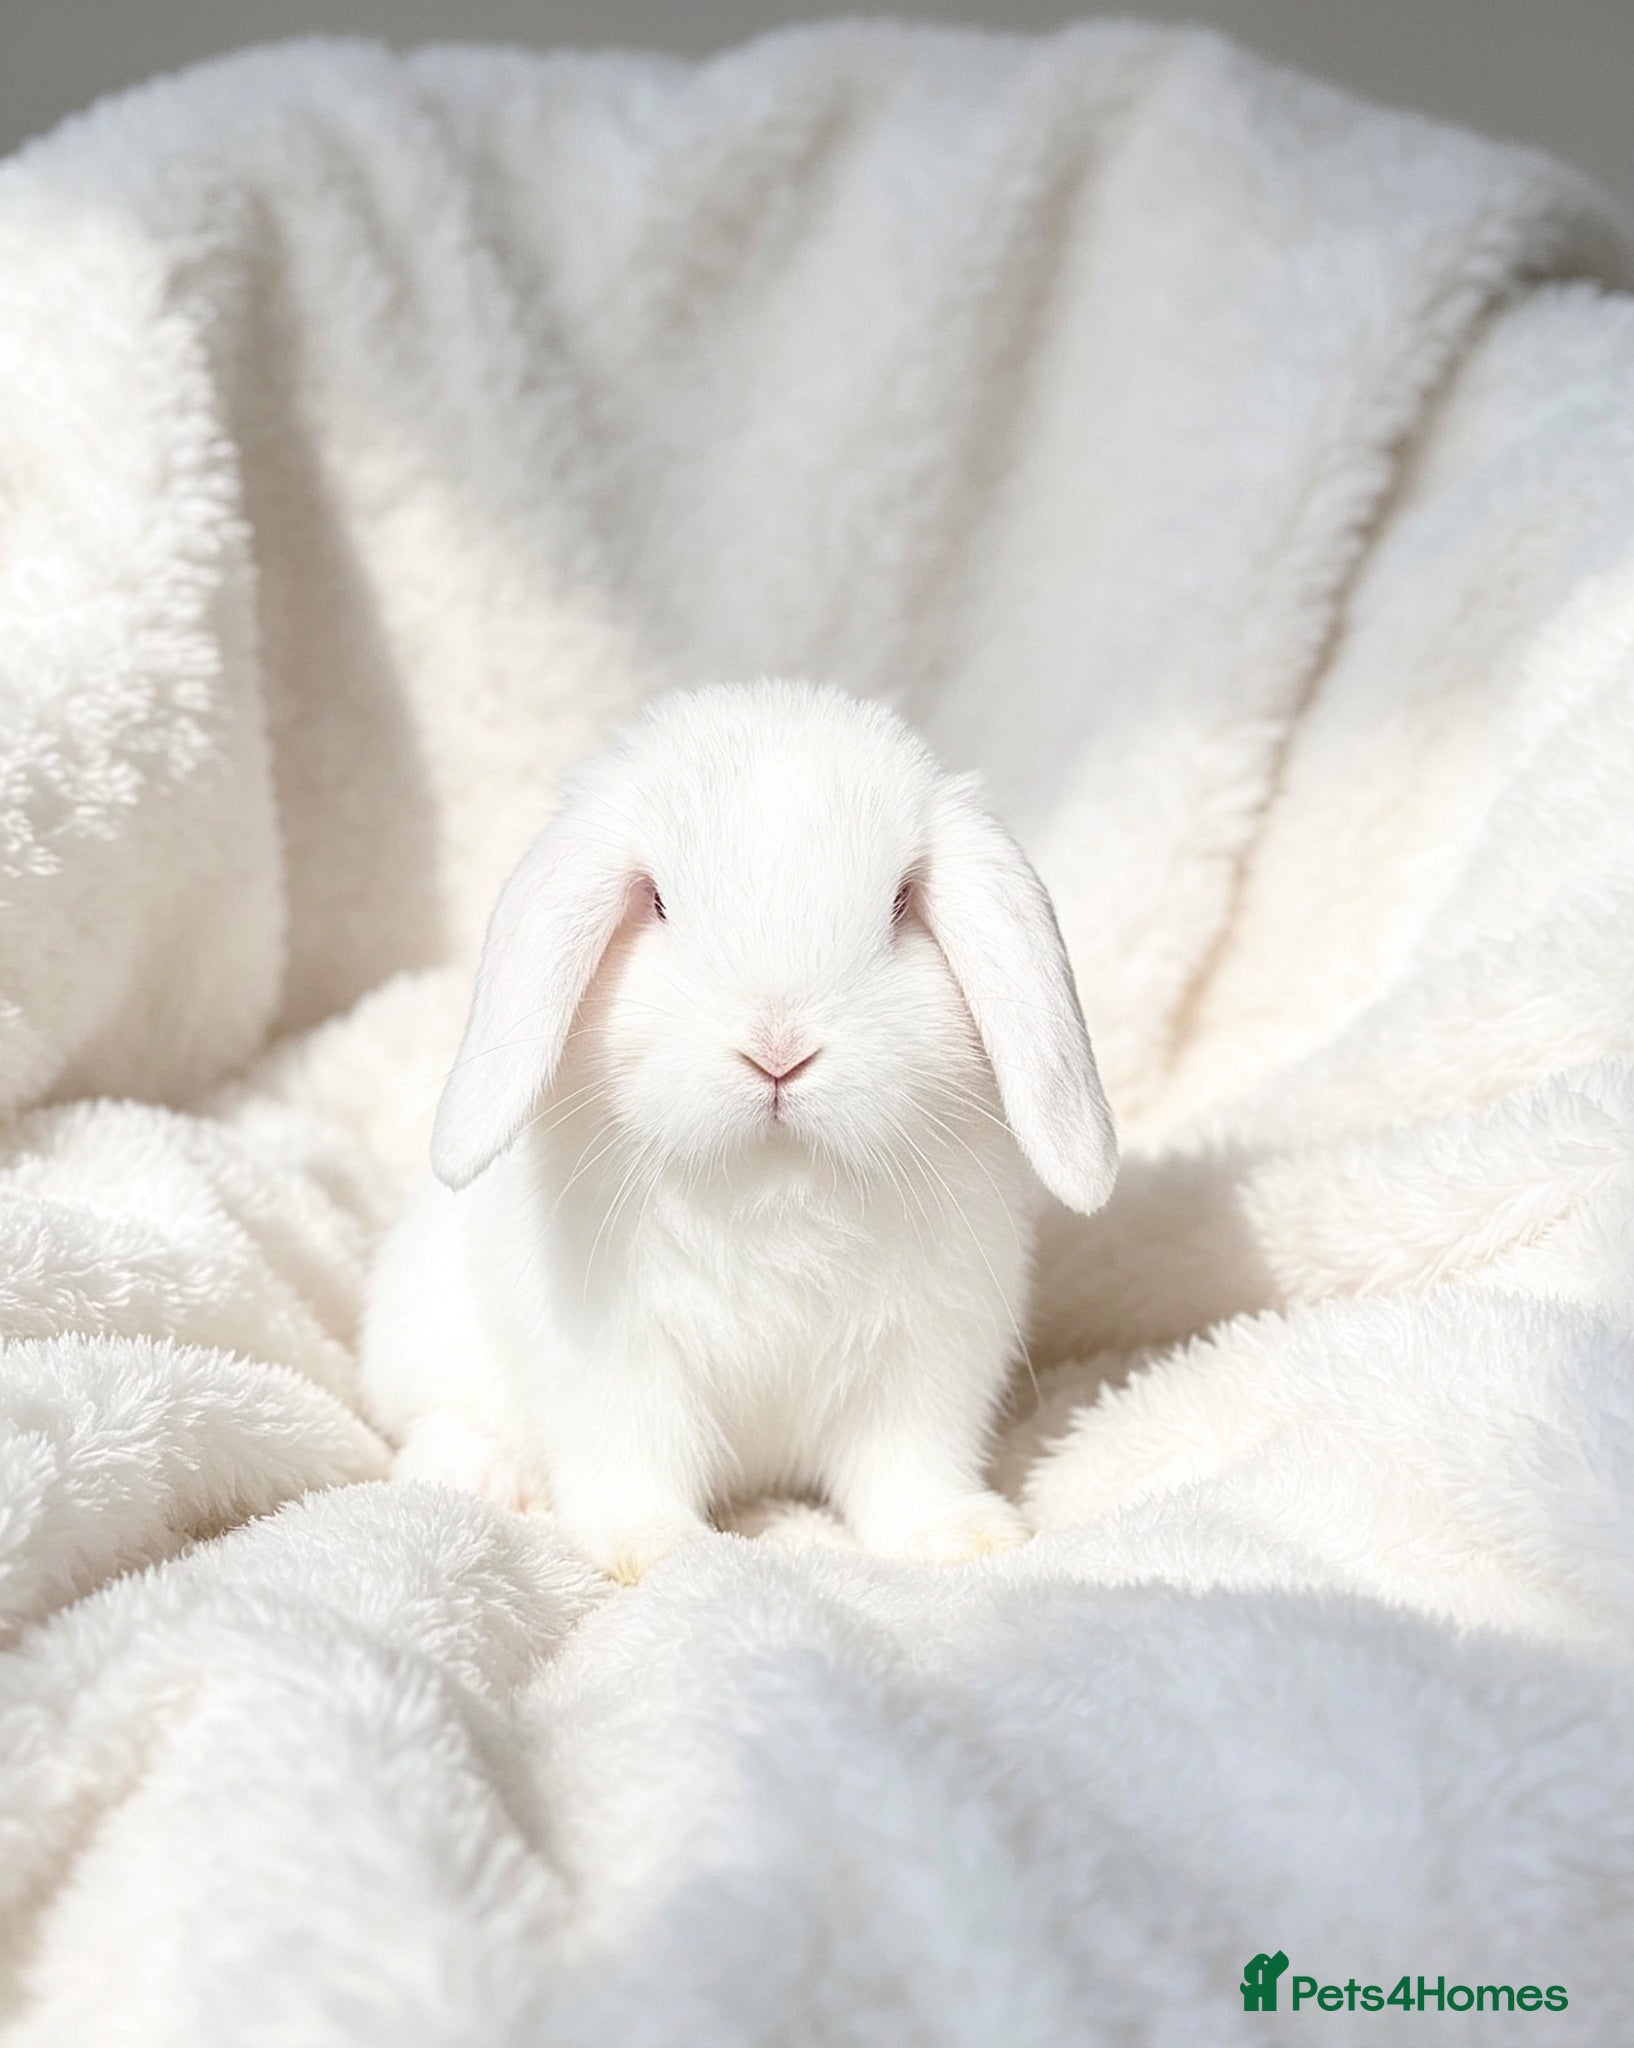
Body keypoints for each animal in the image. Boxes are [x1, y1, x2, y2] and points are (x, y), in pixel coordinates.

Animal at [361, 681, 1117, 1581]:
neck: (773, 1179)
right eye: (655, 901)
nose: (778, 1052)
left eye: (901, 905)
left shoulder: (926, 1364)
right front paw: (653, 1549)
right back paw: (476, 1478)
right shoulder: (614, 1368)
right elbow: (630, 1460)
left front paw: (963, 1538)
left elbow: (909, 1470)